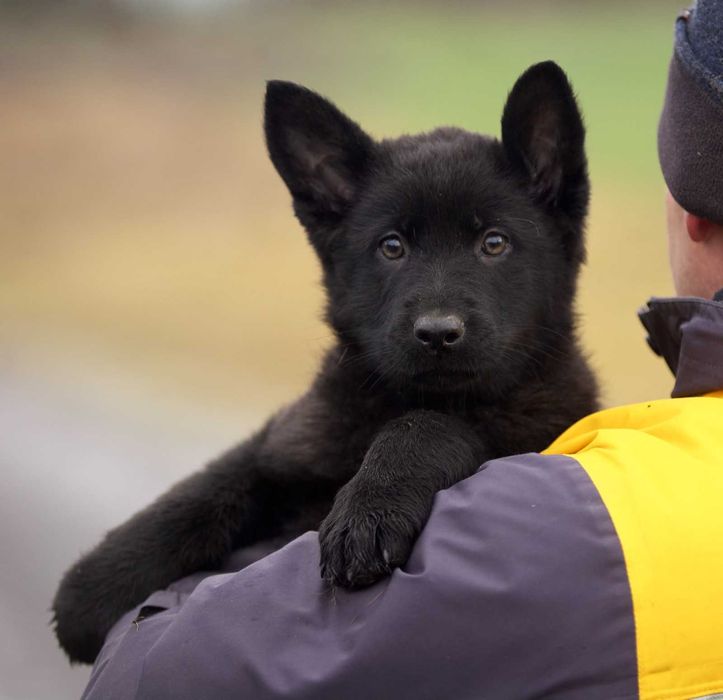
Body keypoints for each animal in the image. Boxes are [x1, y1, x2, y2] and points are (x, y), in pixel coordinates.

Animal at [52, 60, 600, 660]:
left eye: (495, 243)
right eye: (391, 247)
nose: (437, 333)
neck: (394, 398)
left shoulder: (524, 426)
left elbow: (428, 425)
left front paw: (367, 511)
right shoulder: (294, 435)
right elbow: (215, 483)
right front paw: (94, 586)